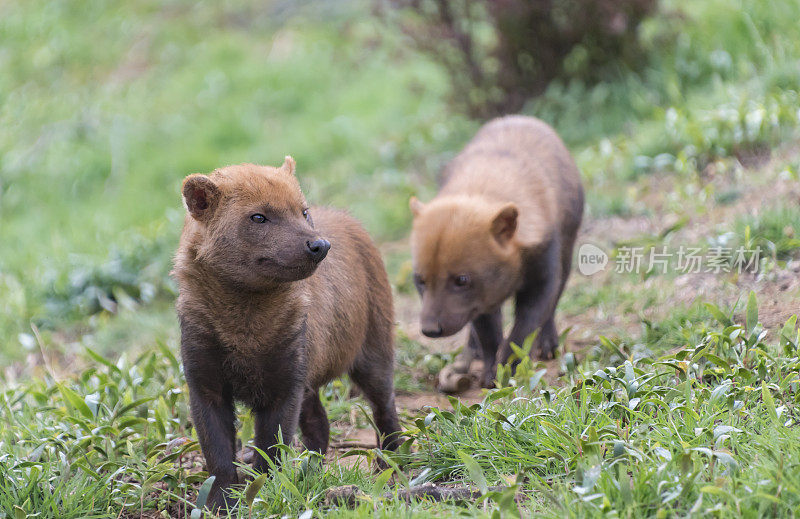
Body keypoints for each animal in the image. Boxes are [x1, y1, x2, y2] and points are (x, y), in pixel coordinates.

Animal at [173, 158, 404, 512]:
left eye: (303, 211)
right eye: (258, 216)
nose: (320, 245)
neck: (245, 331)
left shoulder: (286, 379)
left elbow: (270, 447)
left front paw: (263, 494)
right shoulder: (204, 382)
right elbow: (218, 453)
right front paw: (220, 504)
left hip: (373, 347)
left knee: (384, 403)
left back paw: (390, 462)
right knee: (320, 424)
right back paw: (312, 471)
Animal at [410, 116, 584, 388]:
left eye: (461, 279)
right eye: (419, 280)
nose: (430, 330)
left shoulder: (544, 272)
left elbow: (525, 327)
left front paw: (510, 369)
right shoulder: (481, 298)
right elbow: (489, 335)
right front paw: (490, 373)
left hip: (566, 252)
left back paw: (548, 344)